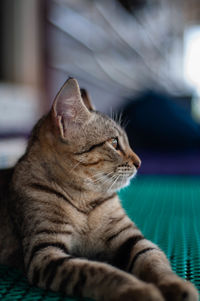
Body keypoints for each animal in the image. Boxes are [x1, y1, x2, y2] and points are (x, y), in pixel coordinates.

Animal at [0, 78, 198, 300]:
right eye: (114, 143)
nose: (140, 162)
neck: (84, 198)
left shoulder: (130, 238)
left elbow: (154, 259)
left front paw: (176, 284)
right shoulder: (45, 252)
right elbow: (99, 272)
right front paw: (139, 290)